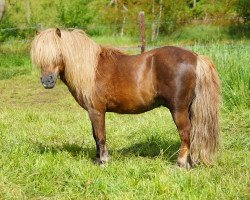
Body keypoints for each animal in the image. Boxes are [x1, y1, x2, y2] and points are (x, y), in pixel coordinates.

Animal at [30, 28, 220, 169]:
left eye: (58, 53)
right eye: (40, 55)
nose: (47, 81)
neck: (92, 69)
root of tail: (196, 57)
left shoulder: (97, 111)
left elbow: (100, 135)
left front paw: (103, 161)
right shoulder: (93, 112)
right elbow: (95, 135)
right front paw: (98, 159)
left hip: (178, 109)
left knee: (185, 133)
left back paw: (180, 164)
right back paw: (189, 163)